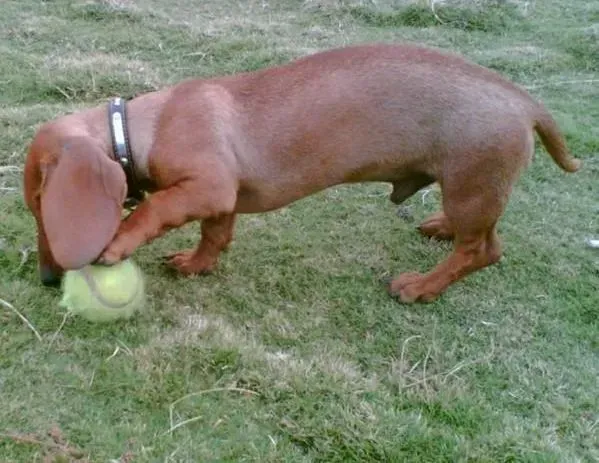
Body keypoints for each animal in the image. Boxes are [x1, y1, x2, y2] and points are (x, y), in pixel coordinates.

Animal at [22, 43, 580, 304]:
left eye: (44, 210)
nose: (48, 280)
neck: (140, 128)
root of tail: (523, 101)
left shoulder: (205, 187)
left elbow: (156, 209)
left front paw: (119, 240)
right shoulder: (221, 199)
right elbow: (214, 236)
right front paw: (197, 264)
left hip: (470, 188)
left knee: (480, 251)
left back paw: (421, 287)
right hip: (474, 192)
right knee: (483, 239)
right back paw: (438, 230)